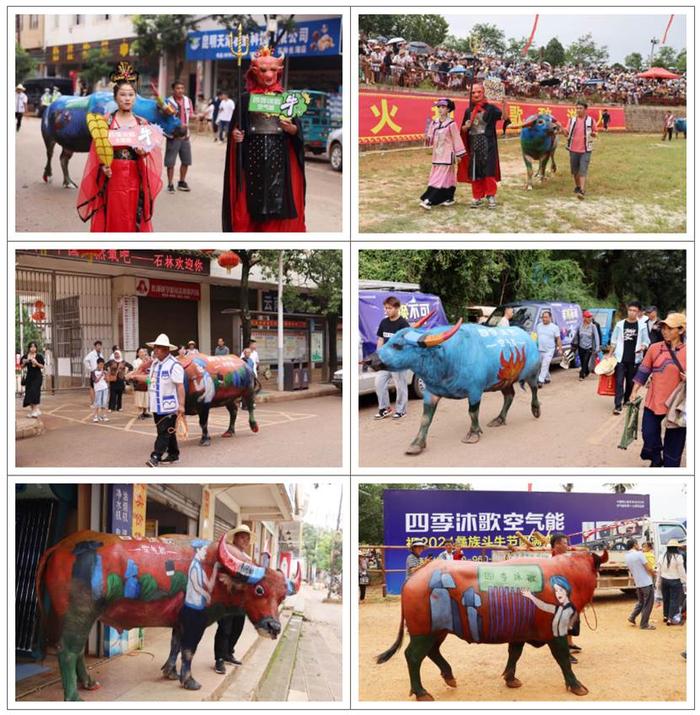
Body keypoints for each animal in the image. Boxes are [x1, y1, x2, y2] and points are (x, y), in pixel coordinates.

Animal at [36, 528, 298, 704]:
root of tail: (59, 546)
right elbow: (189, 650)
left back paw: (89, 684)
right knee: (67, 651)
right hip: (79, 613)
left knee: (77, 650)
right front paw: (189, 681)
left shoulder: (179, 621)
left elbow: (175, 645)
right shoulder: (195, 619)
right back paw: (73, 697)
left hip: (82, 617)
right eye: (259, 590)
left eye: (282, 596)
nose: (273, 626)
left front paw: (170, 672)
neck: (216, 570)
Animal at [40, 91, 183, 187]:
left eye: (176, 113)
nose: (182, 129)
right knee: (50, 154)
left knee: (63, 159)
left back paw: (68, 182)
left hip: (69, 145)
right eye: (164, 113)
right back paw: (48, 176)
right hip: (48, 137)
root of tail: (49, 108)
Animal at [130, 354, 258, 448]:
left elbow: (203, 423)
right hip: (228, 399)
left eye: (148, 369)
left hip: (249, 391)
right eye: (139, 367)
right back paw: (229, 432)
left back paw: (254, 426)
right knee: (234, 411)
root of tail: (246, 366)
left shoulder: (204, 404)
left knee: (250, 407)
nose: (131, 379)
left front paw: (205, 440)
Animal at [366, 314, 540, 458]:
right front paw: (417, 444)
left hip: (532, 374)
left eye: (398, 345)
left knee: (534, 390)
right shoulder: (431, 392)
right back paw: (499, 419)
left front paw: (473, 434)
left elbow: (472, 413)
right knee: (509, 396)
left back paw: (536, 410)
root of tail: (528, 338)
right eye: (389, 340)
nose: (369, 360)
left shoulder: (475, 391)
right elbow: (425, 419)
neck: (447, 358)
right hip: (504, 380)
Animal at [378, 552, 608, 704]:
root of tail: (416, 576)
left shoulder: (519, 632)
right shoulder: (555, 631)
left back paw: (449, 676)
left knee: (432, 652)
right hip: (424, 632)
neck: (567, 574)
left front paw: (510, 678)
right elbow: (562, 658)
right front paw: (576, 685)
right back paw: (421, 692)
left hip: (438, 631)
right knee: (413, 656)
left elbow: (514, 653)